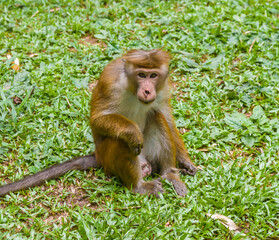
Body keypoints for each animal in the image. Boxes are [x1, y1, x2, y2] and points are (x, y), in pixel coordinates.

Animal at [0, 48, 197, 197]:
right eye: (141, 75)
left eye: (153, 75)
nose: (148, 91)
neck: (132, 89)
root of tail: (98, 156)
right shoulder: (111, 83)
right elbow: (97, 119)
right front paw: (131, 132)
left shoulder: (163, 88)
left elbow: (167, 117)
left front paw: (185, 162)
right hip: (109, 158)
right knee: (122, 139)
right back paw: (138, 186)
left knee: (157, 116)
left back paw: (170, 175)